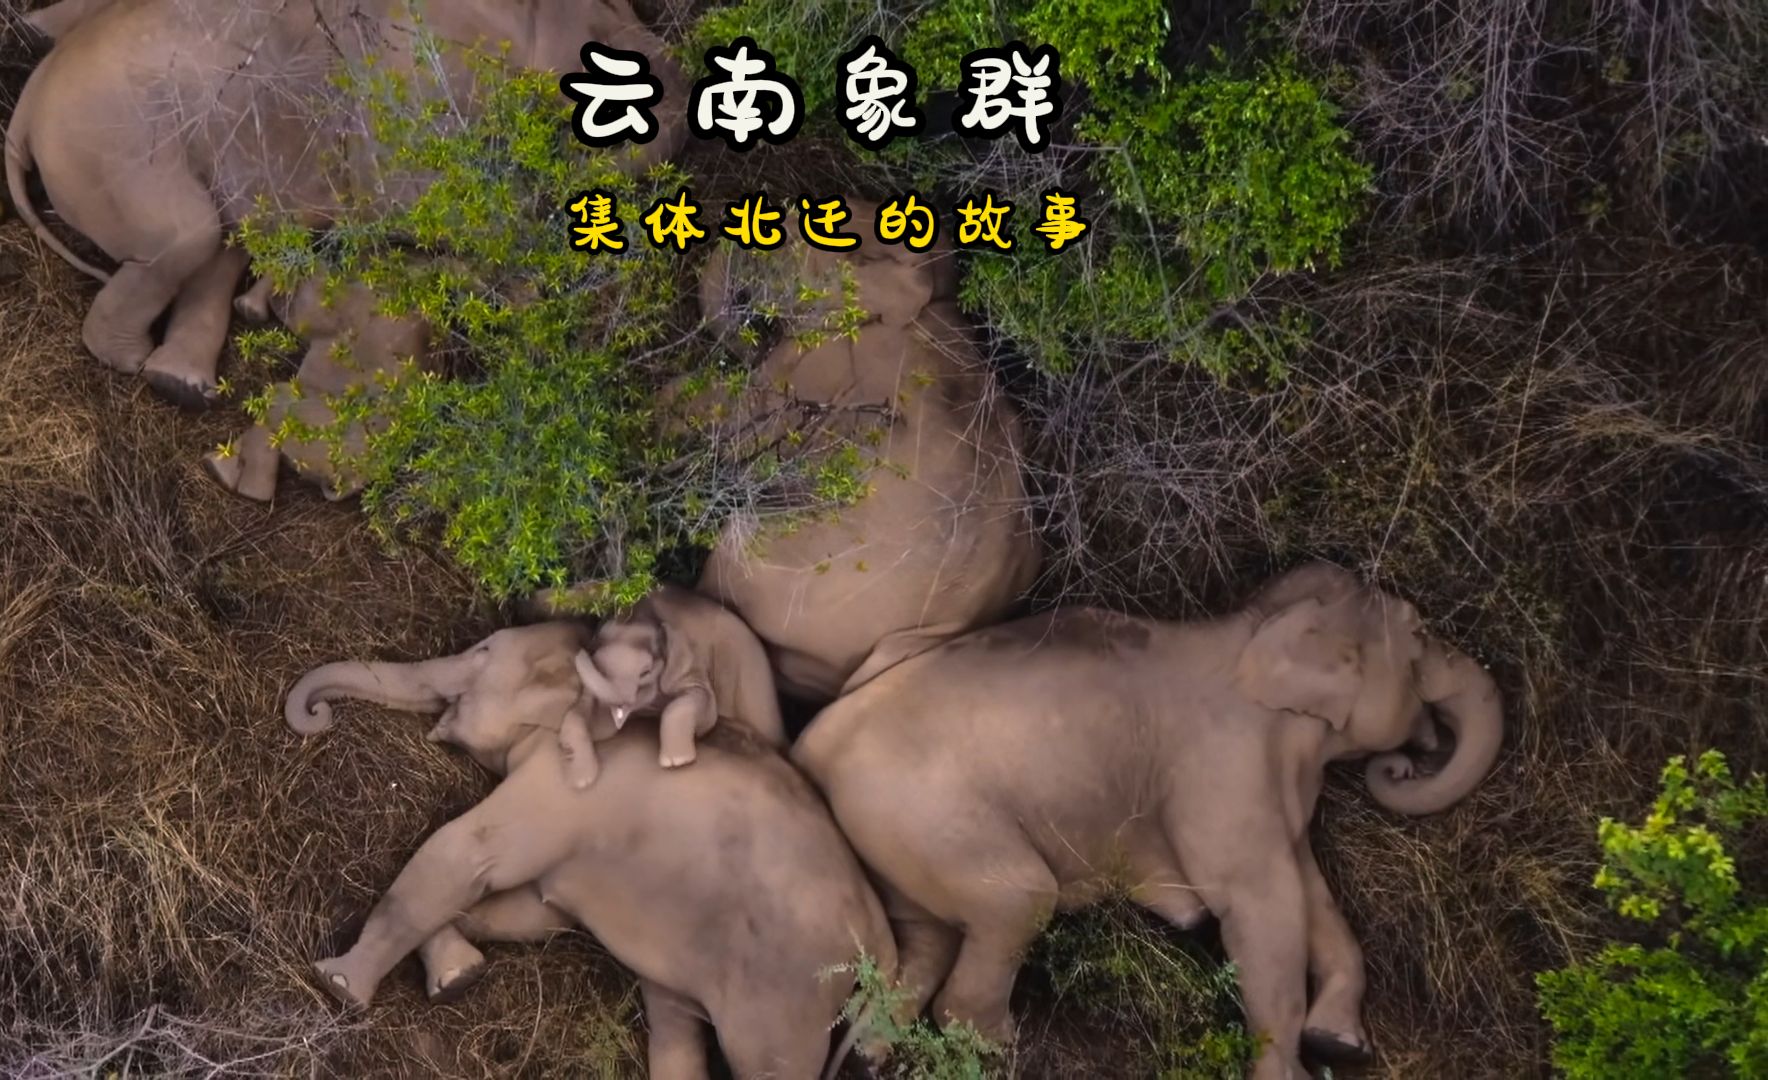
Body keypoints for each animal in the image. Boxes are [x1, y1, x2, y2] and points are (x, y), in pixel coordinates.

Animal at [4, 0, 687, 407]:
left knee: (219, 240)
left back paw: (185, 382)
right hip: (115, 143)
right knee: (189, 236)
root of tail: (26, 109)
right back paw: (135, 361)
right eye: (606, 57)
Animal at [283, 619, 897, 1080]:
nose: (318, 715)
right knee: (675, 1021)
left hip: (787, 1001)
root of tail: (882, 939)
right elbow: (530, 913)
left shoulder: (565, 787)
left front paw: (338, 985)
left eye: (483, 652)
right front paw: (459, 975)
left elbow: (465, 852)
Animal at [788, 560, 1506, 1080]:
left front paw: (1340, 1044)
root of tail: (813, 744)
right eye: (1420, 636)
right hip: (921, 811)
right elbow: (1259, 906)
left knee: (927, 938)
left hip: (892, 836)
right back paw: (1002, 1054)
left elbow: (1311, 894)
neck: (1256, 626)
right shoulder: (1221, 767)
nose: (1405, 762)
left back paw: (874, 1057)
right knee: (1016, 903)